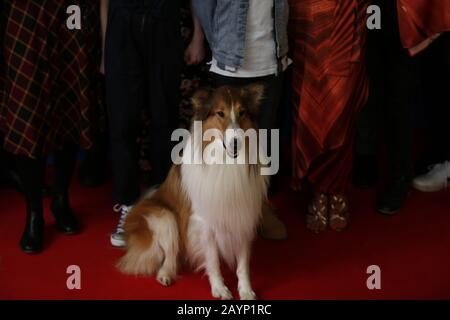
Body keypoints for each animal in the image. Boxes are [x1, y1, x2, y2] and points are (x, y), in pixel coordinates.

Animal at [118, 85, 268, 300]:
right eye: (220, 113)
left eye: (242, 112)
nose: (236, 142)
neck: (226, 162)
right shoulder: (204, 224)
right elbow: (213, 260)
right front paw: (220, 288)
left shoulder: (242, 217)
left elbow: (243, 263)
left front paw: (246, 290)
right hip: (165, 217)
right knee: (170, 254)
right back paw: (165, 274)